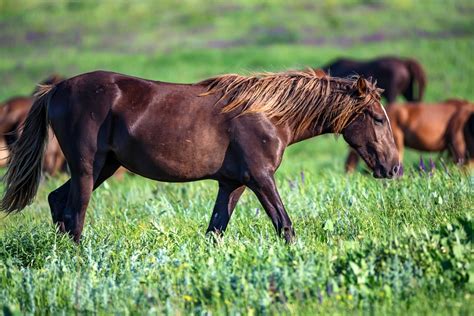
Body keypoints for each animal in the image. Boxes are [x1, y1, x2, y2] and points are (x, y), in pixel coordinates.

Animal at [1, 70, 398, 243]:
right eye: (378, 118)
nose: (393, 167)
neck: (268, 113)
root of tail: (56, 89)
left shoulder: (233, 183)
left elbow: (215, 232)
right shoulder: (261, 178)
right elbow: (285, 225)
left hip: (105, 167)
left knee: (57, 202)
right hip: (87, 167)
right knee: (74, 214)